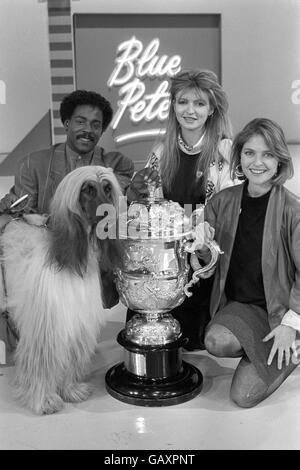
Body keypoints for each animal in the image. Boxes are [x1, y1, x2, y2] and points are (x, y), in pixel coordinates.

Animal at [0, 166, 123, 414]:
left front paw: (70, 389)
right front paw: (45, 399)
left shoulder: (75, 317)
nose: (108, 219)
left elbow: (72, 355)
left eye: (107, 188)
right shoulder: (46, 322)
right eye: (87, 189)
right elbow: (43, 361)